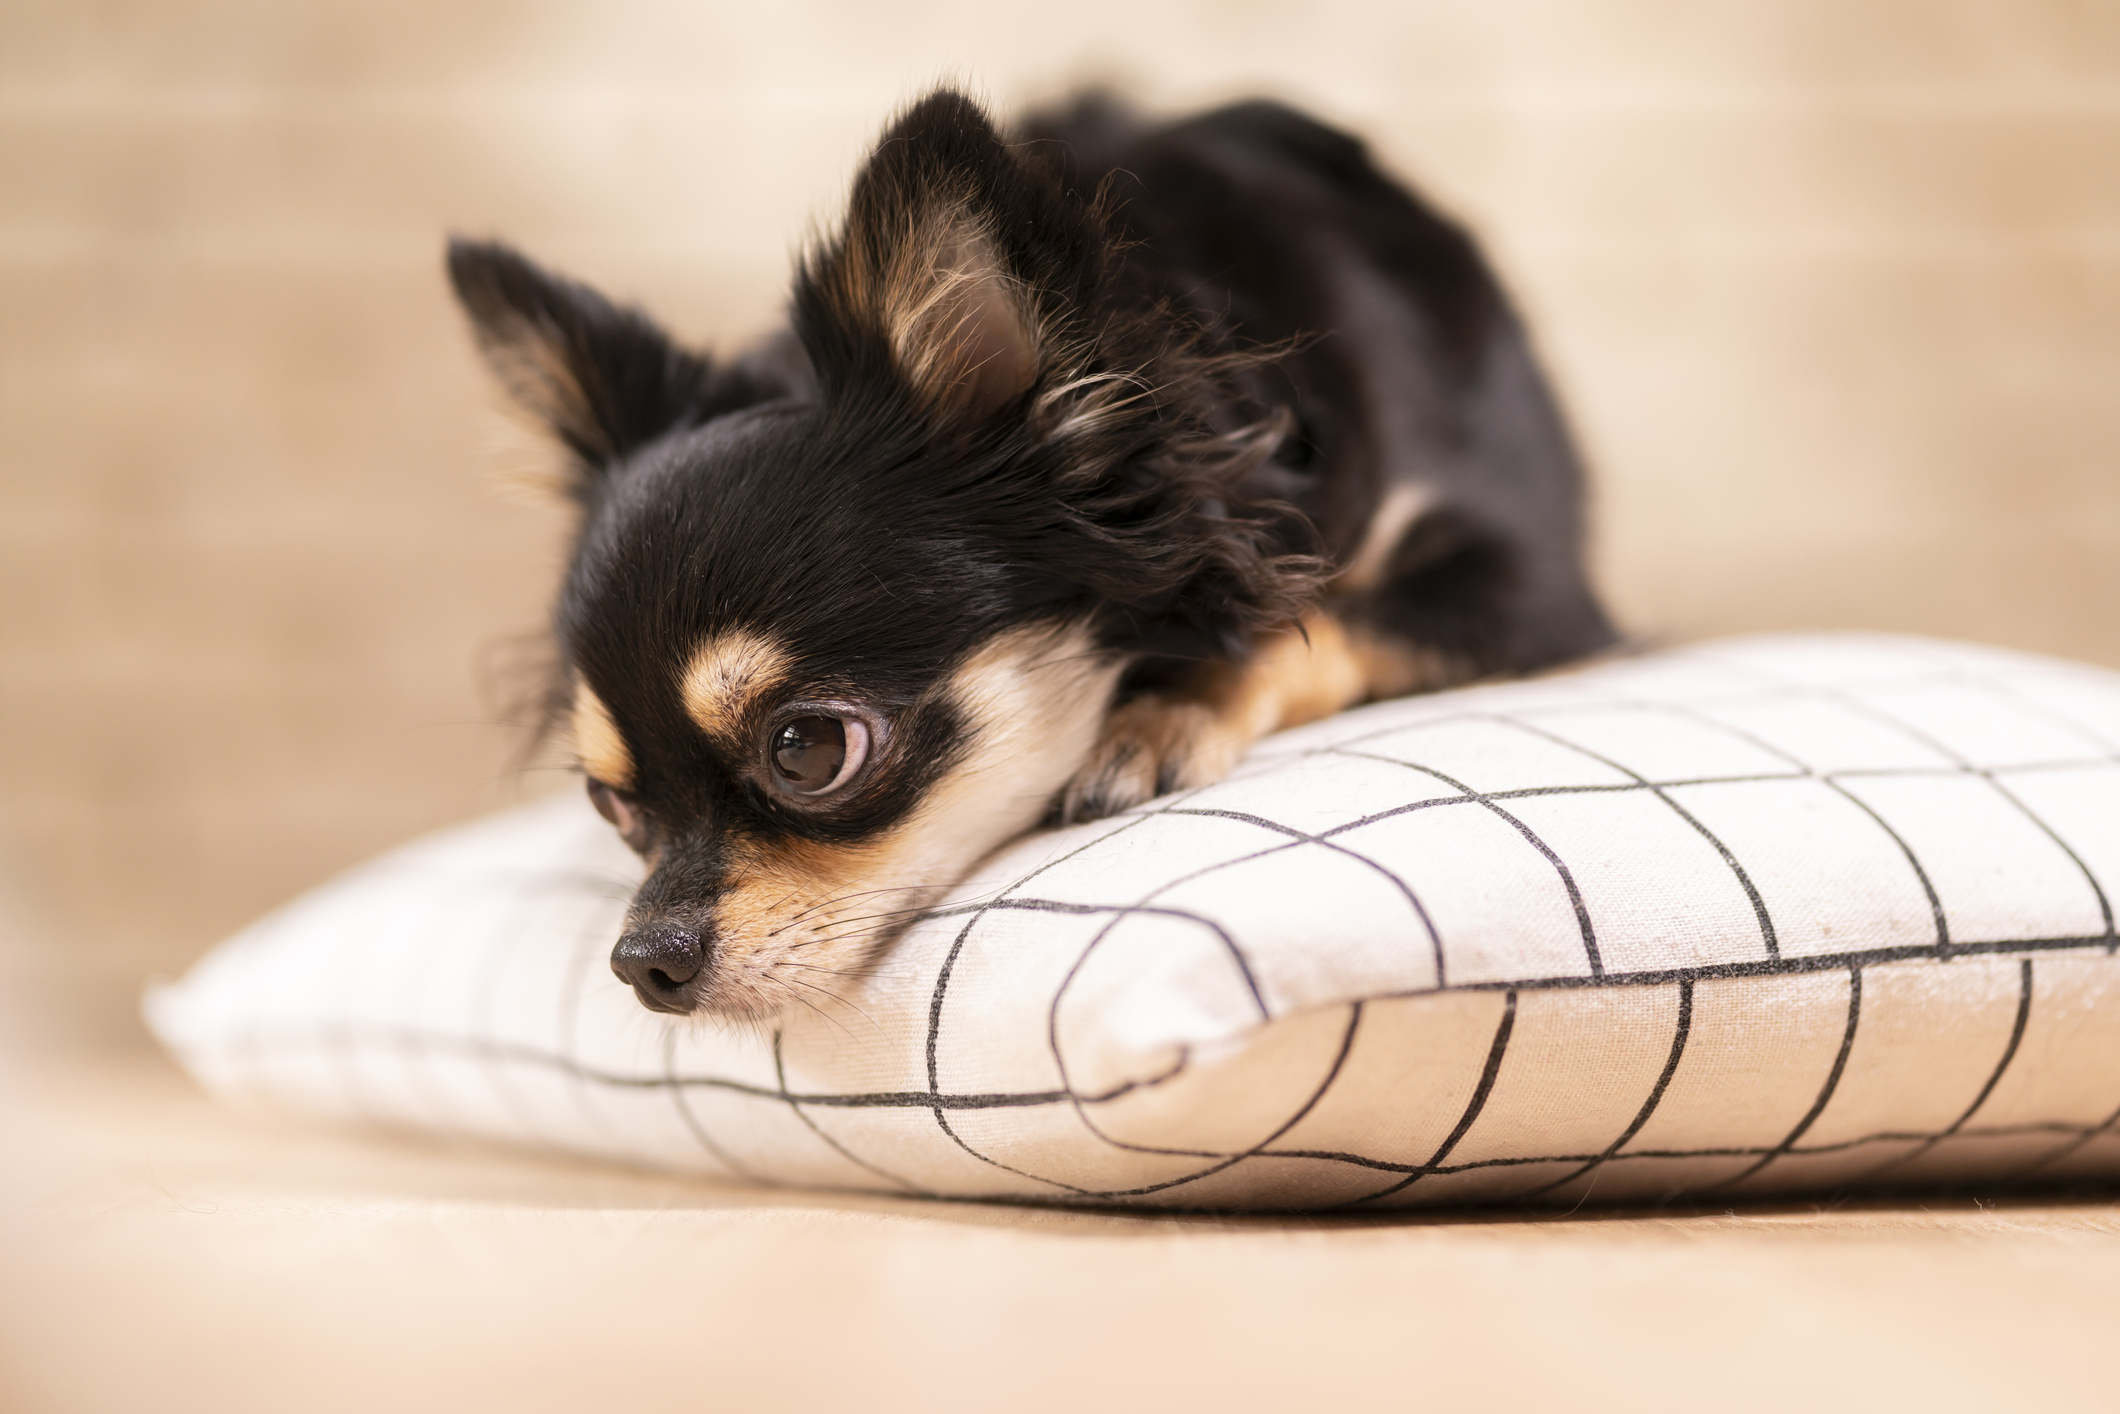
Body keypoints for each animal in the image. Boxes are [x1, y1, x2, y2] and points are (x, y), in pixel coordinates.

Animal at [443, 85, 1602, 1017]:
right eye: (611, 804)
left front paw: (1165, 713)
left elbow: (1316, 615)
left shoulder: (1531, 593)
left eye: (806, 750)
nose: (644, 960)